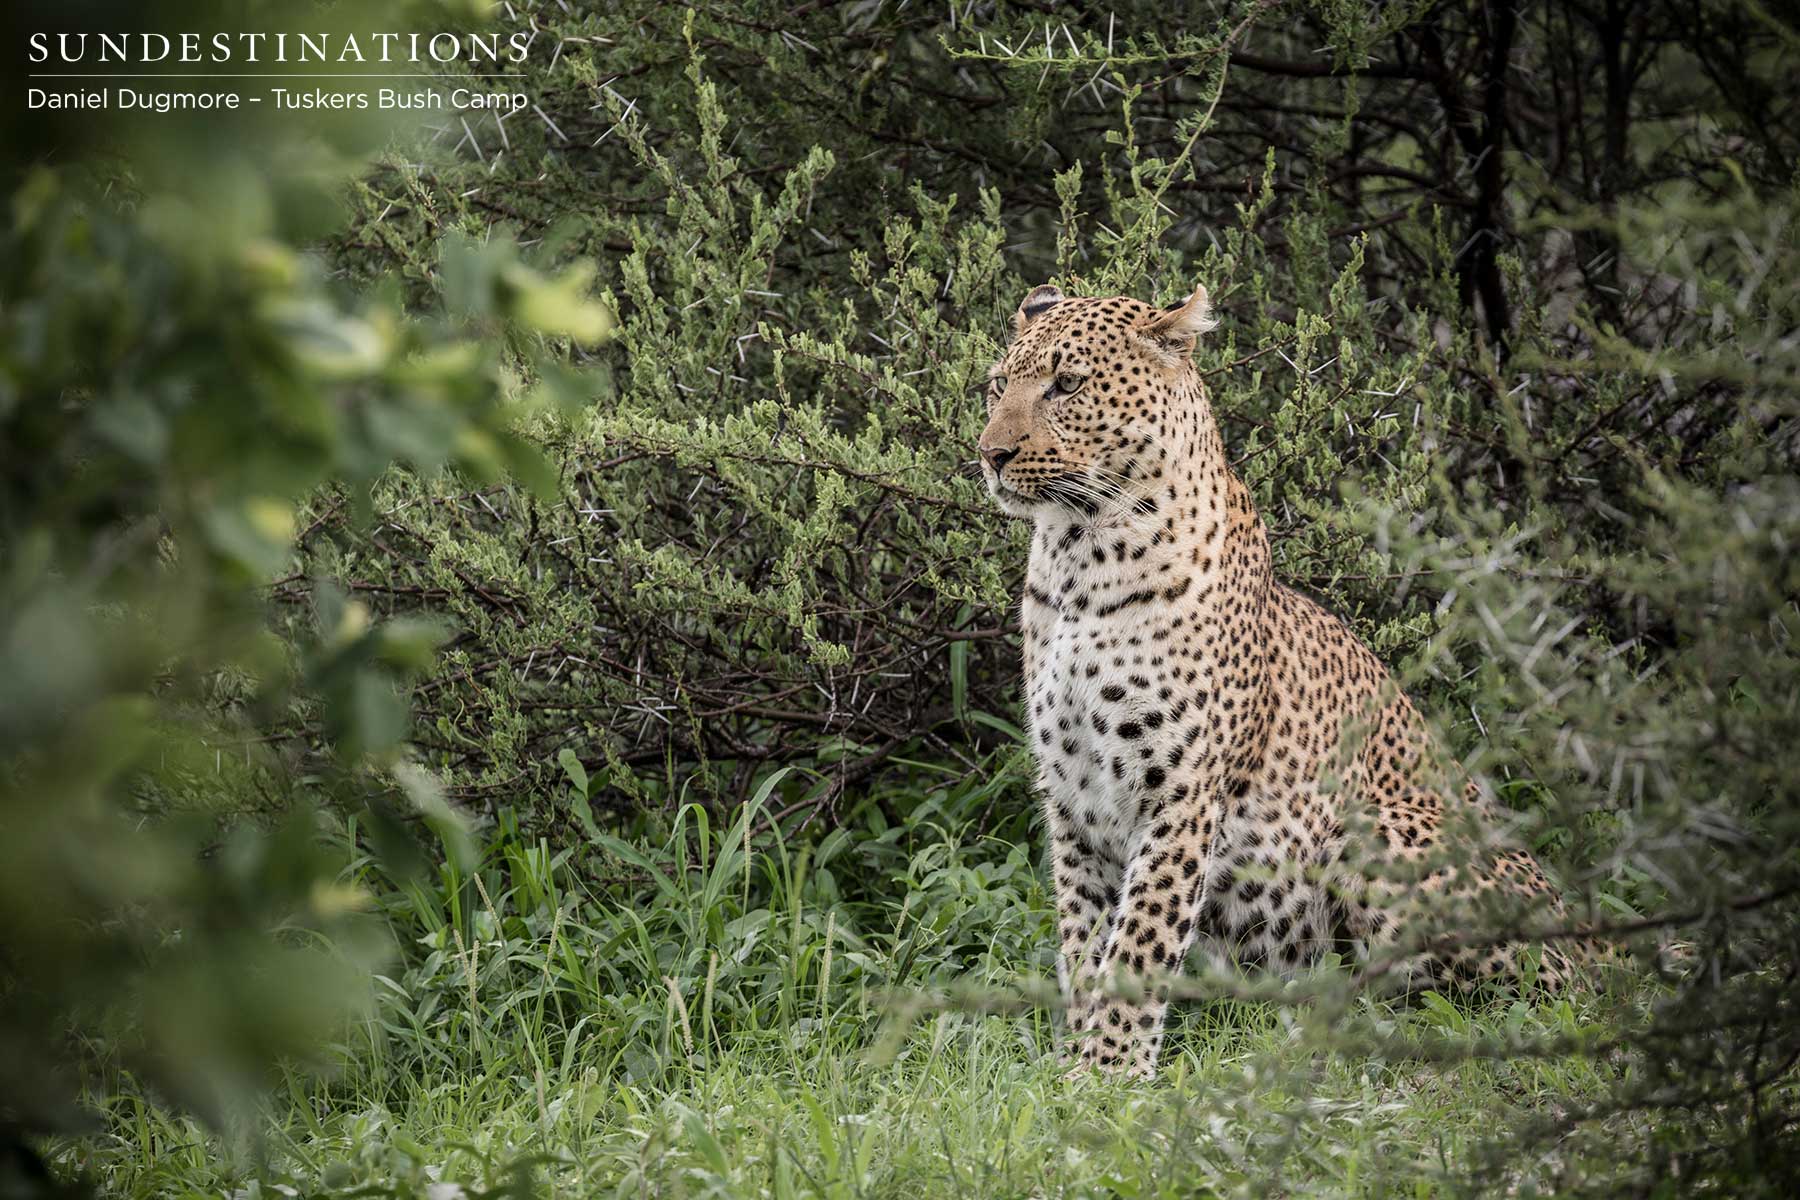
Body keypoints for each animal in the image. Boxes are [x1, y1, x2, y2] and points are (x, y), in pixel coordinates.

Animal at [977, 280, 1584, 1078]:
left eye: (1067, 385)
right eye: (998, 386)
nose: (990, 454)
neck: (1076, 559)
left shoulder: (1177, 791)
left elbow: (1139, 939)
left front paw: (1110, 1073)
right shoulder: (1073, 797)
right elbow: (1084, 942)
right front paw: (1076, 1060)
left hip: (1378, 833)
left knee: (1499, 995)